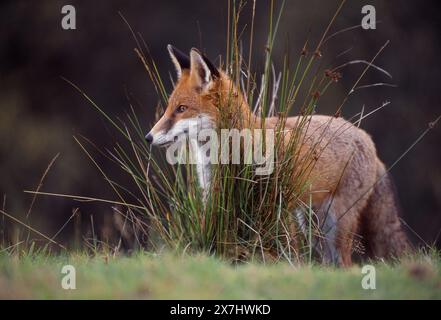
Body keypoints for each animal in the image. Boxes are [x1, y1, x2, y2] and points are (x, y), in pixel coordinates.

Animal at [144, 43, 410, 266]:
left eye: (181, 109)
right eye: (169, 108)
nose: (148, 137)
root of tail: (366, 138)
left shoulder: (275, 204)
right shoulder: (215, 196)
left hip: (335, 224)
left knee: (345, 264)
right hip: (312, 225)